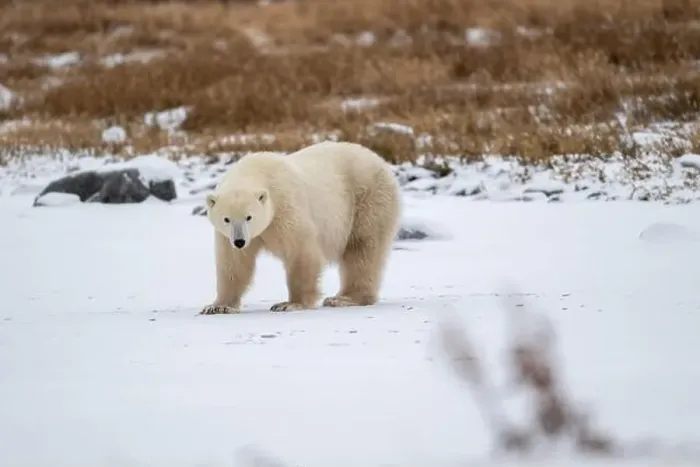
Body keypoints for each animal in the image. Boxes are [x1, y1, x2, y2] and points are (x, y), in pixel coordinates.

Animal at [200, 140, 402, 315]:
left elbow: (301, 251)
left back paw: (344, 298)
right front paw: (218, 306)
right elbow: (234, 263)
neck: (257, 171)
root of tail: (380, 161)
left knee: (362, 249)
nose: (240, 241)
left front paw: (290, 304)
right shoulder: (228, 235)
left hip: (367, 199)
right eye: (226, 219)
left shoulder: (285, 207)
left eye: (249, 217)